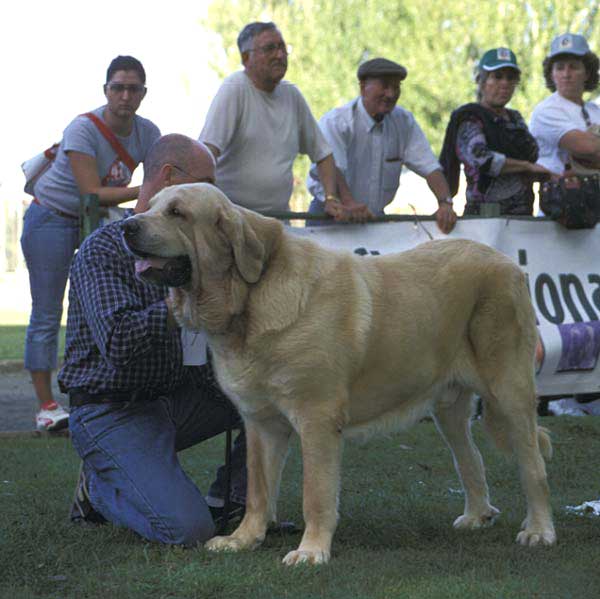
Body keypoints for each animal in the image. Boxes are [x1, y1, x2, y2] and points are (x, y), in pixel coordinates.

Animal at [123, 184, 556, 568]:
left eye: (176, 212)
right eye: (151, 204)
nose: (127, 226)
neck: (249, 297)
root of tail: (504, 260)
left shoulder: (316, 418)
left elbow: (315, 493)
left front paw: (311, 551)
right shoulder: (261, 423)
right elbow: (258, 489)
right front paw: (243, 540)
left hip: (509, 392)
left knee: (533, 465)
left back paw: (539, 530)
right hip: (447, 409)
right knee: (470, 459)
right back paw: (478, 515)